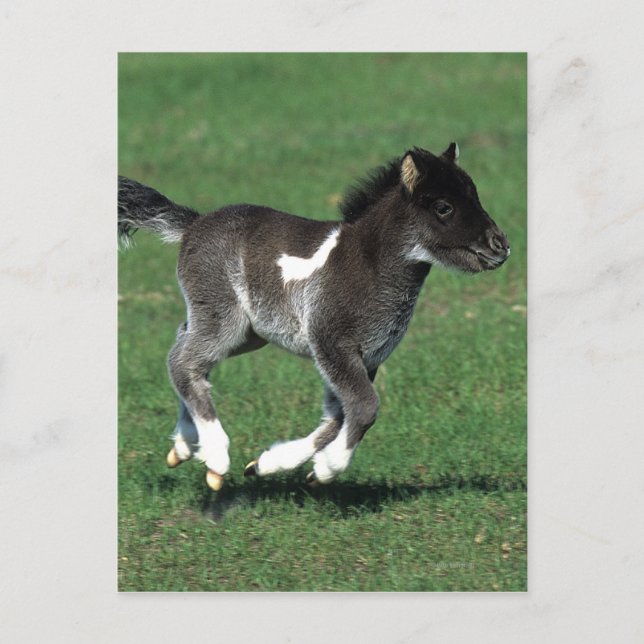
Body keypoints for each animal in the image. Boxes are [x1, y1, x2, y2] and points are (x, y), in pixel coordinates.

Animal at [118, 143, 510, 491]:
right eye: (444, 207)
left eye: (475, 196)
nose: (500, 246)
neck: (369, 264)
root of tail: (194, 224)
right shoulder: (332, 342)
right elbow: (364, 407)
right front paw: (326, 469)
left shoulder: (367, 356)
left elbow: (338, 417)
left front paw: (267, 464)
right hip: (223, 317)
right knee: (183, 362)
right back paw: (215, 457)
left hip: (247, 332)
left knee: (186, 350)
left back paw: (184, 445)